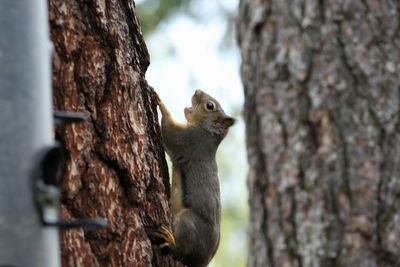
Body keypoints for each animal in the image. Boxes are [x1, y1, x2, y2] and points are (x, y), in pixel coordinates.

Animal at [153, 90, 234, 267]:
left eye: (210, 105)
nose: (198, 91)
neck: (207, 131)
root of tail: (202, 260)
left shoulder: (189, 140)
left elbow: (170, 131)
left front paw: (159, 100)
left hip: (187, 221)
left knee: (180, 251)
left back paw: (170, 241)